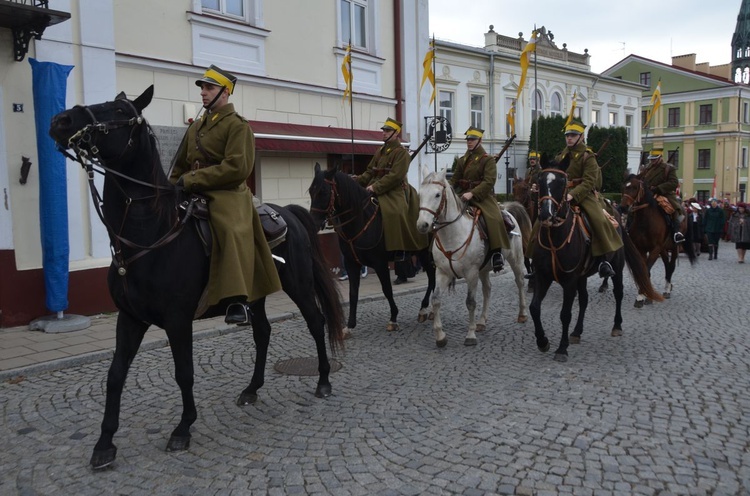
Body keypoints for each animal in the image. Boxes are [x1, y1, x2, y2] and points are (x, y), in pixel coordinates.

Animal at [48, 87, 348, 470]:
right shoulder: (130, 318)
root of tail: (289, 214)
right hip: (257, 295)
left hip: (300, 287)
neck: (149, 234)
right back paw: (252, 389)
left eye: (117, 110)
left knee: (316, 322)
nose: (61, 120)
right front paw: (104, 444)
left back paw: (323, 380)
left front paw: (183, 428)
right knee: (263, 333)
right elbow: (115, 376)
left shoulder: (178, 320)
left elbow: (184, 372)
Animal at [306, 165, 434, 336]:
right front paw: (349, 325)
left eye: (324, 192)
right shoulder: (351, 263)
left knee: (432, 278)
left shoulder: (380, 264)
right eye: (311, 191)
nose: (312, 223)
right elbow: (353, 293)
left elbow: (387, 290)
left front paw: (393, 318)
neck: (361, 220)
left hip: (425, 253)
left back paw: (424, 308)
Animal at [414, 167, 532, 348]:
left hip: (516, 259)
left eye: (437, 195)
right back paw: (481, 321)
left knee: (519, 281)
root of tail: (506, 209)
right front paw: (440, 336)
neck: (453, 235)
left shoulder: (471, 273)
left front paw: (470, 335)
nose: (422, 225)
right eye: (420, 194)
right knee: (487, 288)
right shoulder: (442, 272)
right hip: (483, 269)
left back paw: (523, 314)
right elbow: (436, 299)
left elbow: (470, 302)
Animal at [528, 165, 664, 362]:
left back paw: (617, 326)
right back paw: (577, 332)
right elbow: (534, 308)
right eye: (539, 181)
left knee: (618, 293)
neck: (555, 239)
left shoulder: (570, 281)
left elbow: (565, 314)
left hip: (617, 268)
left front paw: (561, 349)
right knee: (584, 300)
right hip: (582, 276)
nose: (546, 214)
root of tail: (617, 216)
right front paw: (542, 341)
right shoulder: (542, 277)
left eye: (562, 183)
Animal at [624, 174, 700, 306]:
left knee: (671, 266)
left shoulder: (655, 248)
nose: (623, 206)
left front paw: (641, 297)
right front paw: (645, 296)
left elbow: (647, 270)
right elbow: (644, 271)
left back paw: (667, 290)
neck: (645, 221)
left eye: (634, 187)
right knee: (667, 265)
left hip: (673, 247)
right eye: (624, 186)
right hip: (664, 249)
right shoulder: (641, 248)